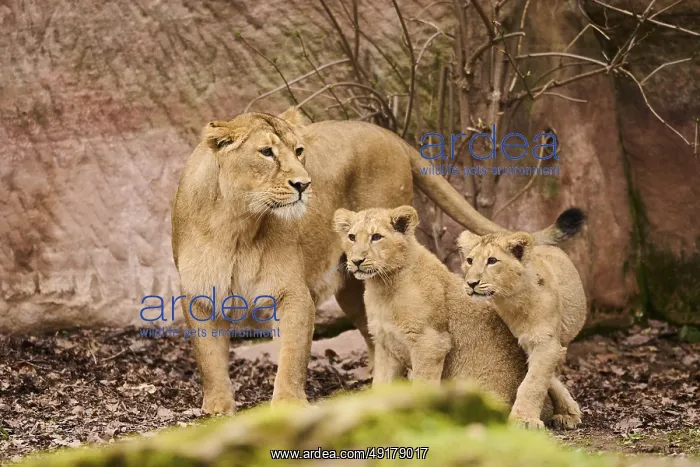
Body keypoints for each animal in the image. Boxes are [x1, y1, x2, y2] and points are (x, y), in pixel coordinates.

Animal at [331, 205, 570, 423]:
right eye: (352, 237)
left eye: (376, 237)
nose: (356, 261)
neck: (381, 286)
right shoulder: (385, 344)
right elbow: (381, 384)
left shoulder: (431, 342)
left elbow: (422, 384)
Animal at [456, 208, 587, 429]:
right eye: (470, 261)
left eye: (492, 261)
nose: (471, 283)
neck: (512, 300)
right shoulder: (527, 341)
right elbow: (545, 379)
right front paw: (567, 410)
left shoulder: (545, 342)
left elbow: (534, 382)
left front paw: (524, 420)